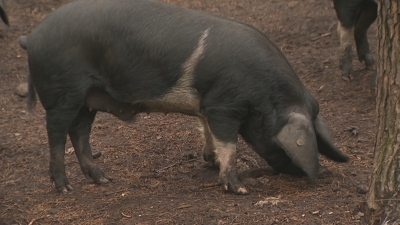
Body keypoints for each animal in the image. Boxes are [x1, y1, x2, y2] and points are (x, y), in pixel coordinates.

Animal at [20, 0, 348, 194]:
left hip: (89, 98)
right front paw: (239, 188)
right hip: (63, 93)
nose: (315, 172)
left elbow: (208, 132)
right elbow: (229, 144)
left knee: (79, 134)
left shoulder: (208, 105)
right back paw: (65, 188)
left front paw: (210, 162)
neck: (265, 95)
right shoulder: (224, 106)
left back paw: (103, 179)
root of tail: (32, 37)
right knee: (56, 135)